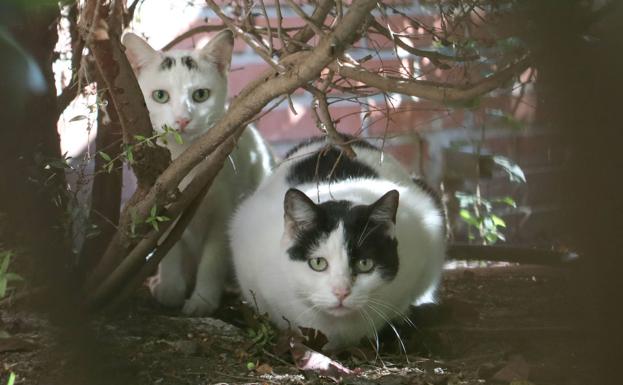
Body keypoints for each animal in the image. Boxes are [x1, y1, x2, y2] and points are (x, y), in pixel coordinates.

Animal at [123, 28, 274, 314]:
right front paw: (170, 289)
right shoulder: (161, 203)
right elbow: (168, 249)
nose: (183, 119)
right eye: (160, 96)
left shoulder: (225, 212)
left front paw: (203, 301)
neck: (186, 159)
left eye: (200, 95)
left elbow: (213, 259)